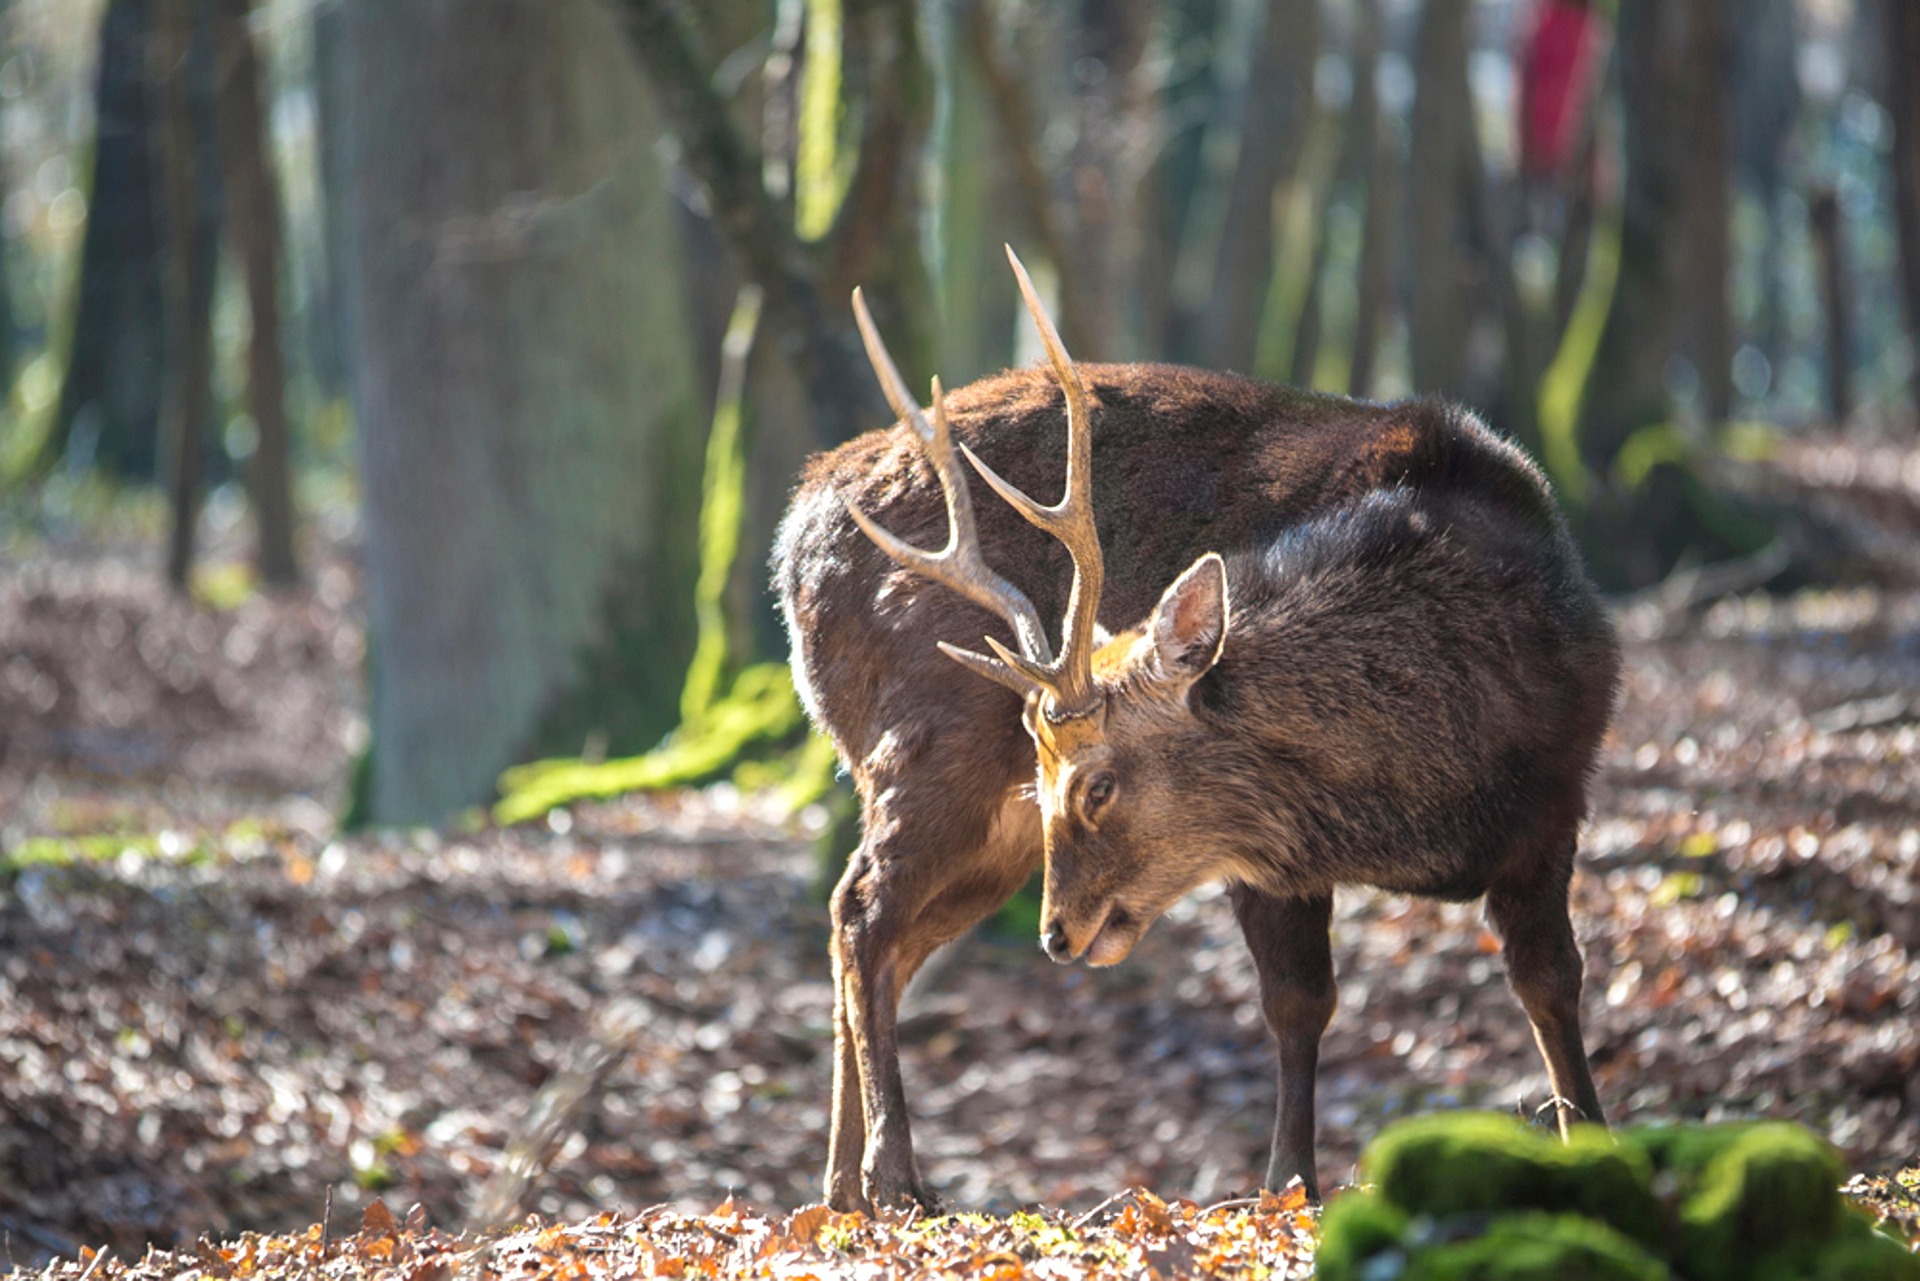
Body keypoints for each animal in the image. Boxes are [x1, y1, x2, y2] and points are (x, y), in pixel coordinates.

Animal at [771, 247, 1612, 1213]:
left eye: (1095, 783)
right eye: (1046, 774)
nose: (1056, 935)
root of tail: (792, 543)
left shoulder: (1557, 798)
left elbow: (1552, 981)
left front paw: (1594, 1137)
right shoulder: (1268, 851)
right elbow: (1299, 1001)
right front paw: (1288, 1185)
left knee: (882, 932)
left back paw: (839, 1186)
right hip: (927, 750)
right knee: (863, 911)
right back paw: (893, 1177)